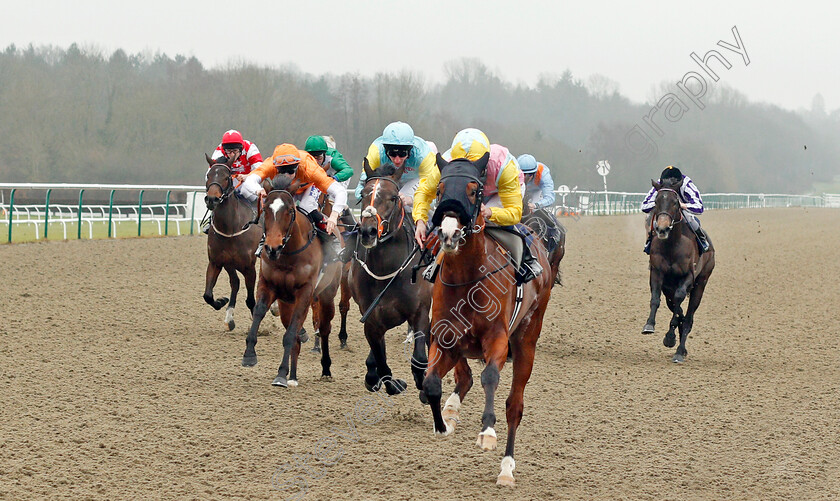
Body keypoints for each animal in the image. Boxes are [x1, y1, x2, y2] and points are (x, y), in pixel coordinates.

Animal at [203, 154, 260, 330]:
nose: (212, 199)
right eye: (208, 175)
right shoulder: (216, 262)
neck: (230, 228)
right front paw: (221, 301)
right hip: (229, 264)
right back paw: (229, 317)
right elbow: (207, 295)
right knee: (235, 282)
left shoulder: (249, 267)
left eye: (227, 177)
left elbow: (251, 300)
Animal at [240, 176, 342, 386]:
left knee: (323, 329)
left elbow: (290, 335)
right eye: (266, 209)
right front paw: (249, 354)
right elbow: (259, 312)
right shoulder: (268, 285)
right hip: (287, 302)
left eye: (289, 211)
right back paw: (292, 376)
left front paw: (281, 373)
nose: (272, 248)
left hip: (327, 294)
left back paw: (325, 369)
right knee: (294, 332)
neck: (288, 255)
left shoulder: (305, 292)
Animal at [344, 160, 430, 398]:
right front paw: (388, 381)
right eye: (363, 194)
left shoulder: (419, 311)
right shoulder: (371, 319)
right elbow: (382, 365)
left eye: (393, 197)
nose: (368, 232)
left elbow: (419, 359)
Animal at [424, 152, 556, 484]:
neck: (467, 277)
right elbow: (431, 383)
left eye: (474, 190)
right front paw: (442, 424)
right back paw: (451, 411)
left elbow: (490, 377)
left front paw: (487, 432)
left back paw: (507, 468)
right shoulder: (443, 338)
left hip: (526, 341)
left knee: (515, 406)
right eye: (440, 191)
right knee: (462, 378)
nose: (448, 233)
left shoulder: (497, 338)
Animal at [644, 178, 716, 362]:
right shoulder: (657, 273)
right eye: (656, 201)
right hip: (669, 287)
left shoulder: (688, 277)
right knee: (677, 308)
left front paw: (670, 337)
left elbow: (679, 301)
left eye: (675, 203)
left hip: (701, 284)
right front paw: (649, 325)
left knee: (689, 316)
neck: (672, 245)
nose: (662, 229)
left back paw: (679, 351)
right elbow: (656, 299)